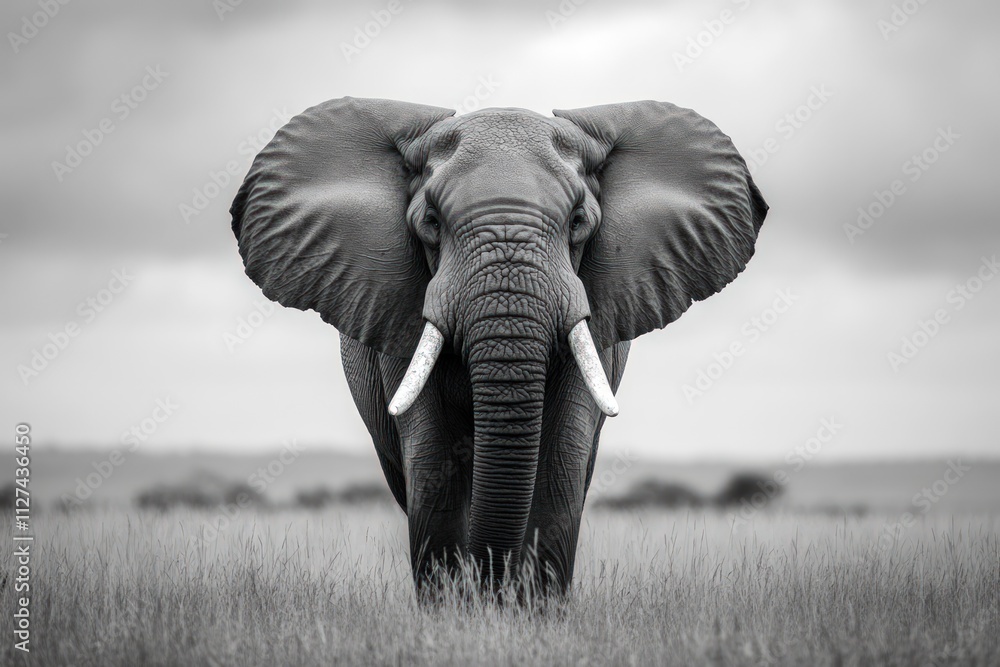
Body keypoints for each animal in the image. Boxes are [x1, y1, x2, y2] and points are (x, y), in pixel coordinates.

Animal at [230, 97, 767, 598]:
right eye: (431, 221)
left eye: (578, 221)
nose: (493, 589)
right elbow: (434, 464)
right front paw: (458, 614)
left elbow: (559, 466)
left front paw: (530, 616)